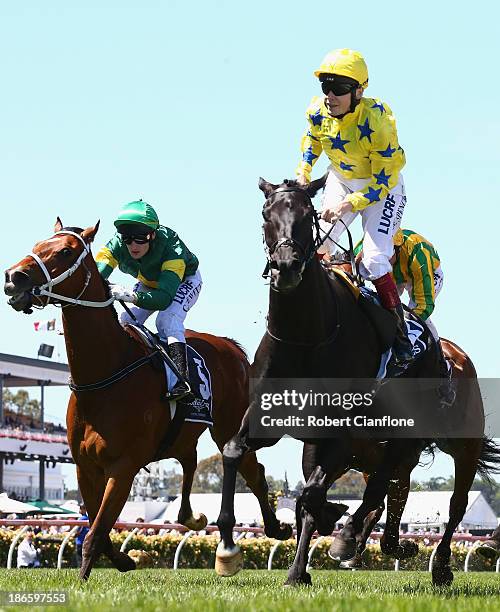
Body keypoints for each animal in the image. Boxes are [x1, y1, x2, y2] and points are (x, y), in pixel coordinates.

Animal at [2, 219, 292, 580]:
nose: (14, 276)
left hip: (227, 426)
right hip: (183, 433)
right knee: (191, 460)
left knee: (253, 472)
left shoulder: (124, 466)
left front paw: (85, 578)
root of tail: (233, 348)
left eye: (66, 251)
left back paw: (275, 529)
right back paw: (191, 516)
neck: (105, 373)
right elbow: (98, 527)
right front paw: (124, 560)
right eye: (38, 244)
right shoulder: (85, 467)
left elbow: (97, 530)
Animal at [215, 177, 500, 588]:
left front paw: (331, 529)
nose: (286, 267)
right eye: (267, 214)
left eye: (308, 215)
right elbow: (236, 453)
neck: (308, 336)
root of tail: (454, 355)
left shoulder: (343, 431)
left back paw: (440, 564)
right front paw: (232, 549)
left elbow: (312, 495)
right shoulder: (273, 420)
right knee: (386, 487)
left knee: (454, 502)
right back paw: (374, 542)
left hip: (462, 443)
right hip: (395, 445)